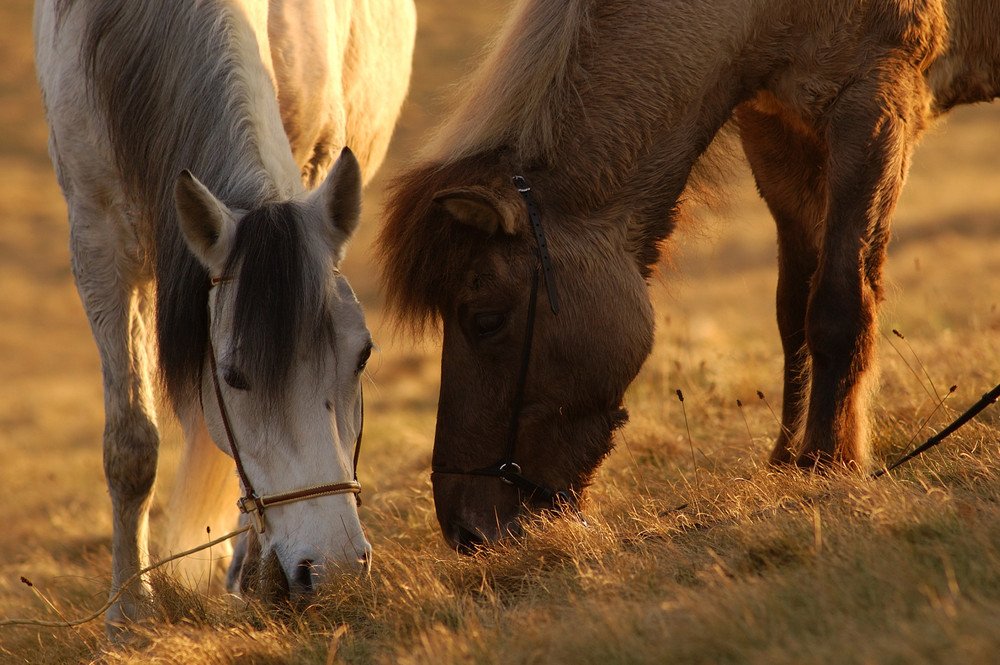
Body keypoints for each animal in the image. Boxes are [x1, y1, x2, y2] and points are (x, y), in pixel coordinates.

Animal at [31, 0, 414, 636]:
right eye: (232, 376)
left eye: (362, 357)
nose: (334, 571)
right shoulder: (97, 239)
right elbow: (131, 446)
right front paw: (130, 616)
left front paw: (257, 577)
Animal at [376, 0, 1000, 548]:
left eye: (485, 320)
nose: (466, 533)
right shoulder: (772, 127)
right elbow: (793, 312)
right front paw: (785, 463)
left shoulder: (872, 105)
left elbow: (837, 307)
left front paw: (828, 464)